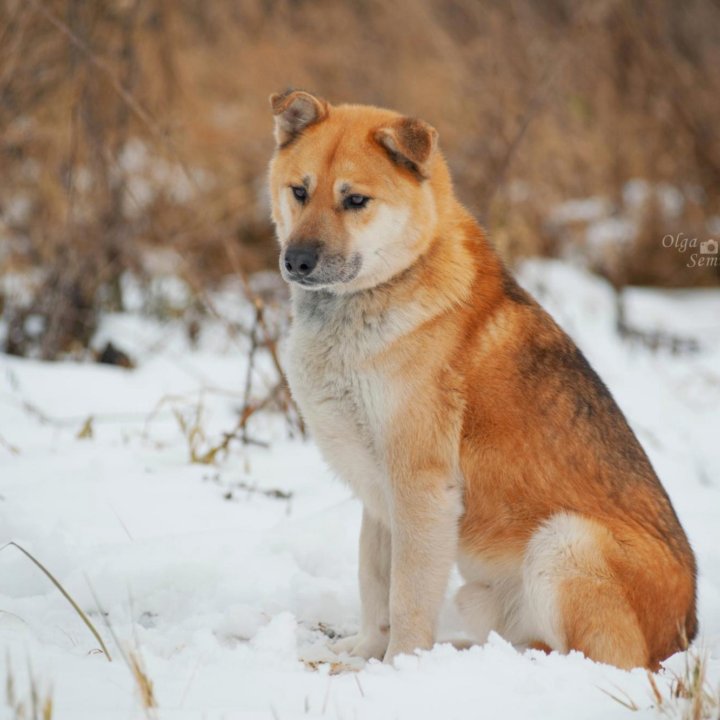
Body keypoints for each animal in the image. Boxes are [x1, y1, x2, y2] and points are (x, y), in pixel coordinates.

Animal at [268, 90, 696, 668]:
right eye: (299, 191)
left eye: (355, 200)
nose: (296, 261)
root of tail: (685, 637)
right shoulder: (379, 496)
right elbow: (373, 586)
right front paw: (362, 656)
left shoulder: (421, 488)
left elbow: (405, 598)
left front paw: (398, 668)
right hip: (481, 594)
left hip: (565, 543)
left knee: (600, 660)